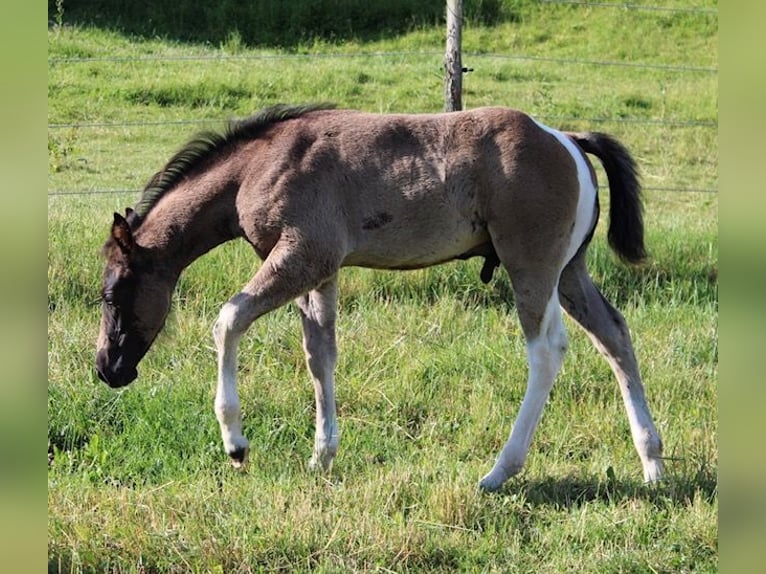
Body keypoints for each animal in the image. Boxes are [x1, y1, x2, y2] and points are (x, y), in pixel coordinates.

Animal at [95, 103, 664, 491]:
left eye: (112, 294)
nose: (107, 368)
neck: (260, 164)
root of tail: (565, 138)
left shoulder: (302, 255)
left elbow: (229, 318)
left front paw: (235, 443)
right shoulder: (320, 272)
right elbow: (319, 356)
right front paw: (322, 456)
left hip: (532, 266)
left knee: (547, 351)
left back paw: (499, 471)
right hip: (570, 270)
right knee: (614, 335)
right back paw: (652, 462)